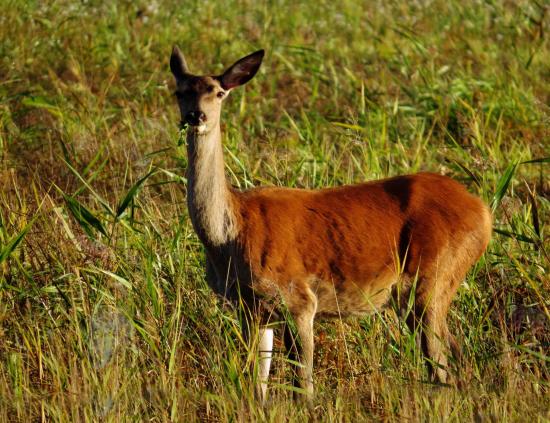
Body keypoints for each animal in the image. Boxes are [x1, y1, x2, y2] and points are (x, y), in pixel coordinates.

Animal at [170, 47, 494, 404]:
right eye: (179, 91)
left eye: (219, 92)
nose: (196, 116)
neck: (230, 234)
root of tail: (483, 211)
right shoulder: (252, 309)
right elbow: (257, 385)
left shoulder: (298, 298)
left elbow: (303, 386)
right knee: (456, 356)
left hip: (432, 277)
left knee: (440, 368)